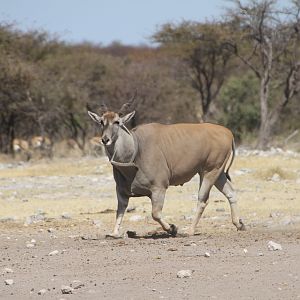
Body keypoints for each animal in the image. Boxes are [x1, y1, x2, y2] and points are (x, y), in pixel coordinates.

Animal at [88, 95, 245, 238]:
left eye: (117, 122)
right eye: (101, 122)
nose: (105, 139)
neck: (136, 149)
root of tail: (229, 133)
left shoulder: (159, 188)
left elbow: (155, 214)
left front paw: (172, 228)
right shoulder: (122, 193)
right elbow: (119, 212)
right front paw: (114, 233)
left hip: (209, 171)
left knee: (202, 200)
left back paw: (189, 231)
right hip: (218, 173)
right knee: (231, 192)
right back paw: (239, 224)